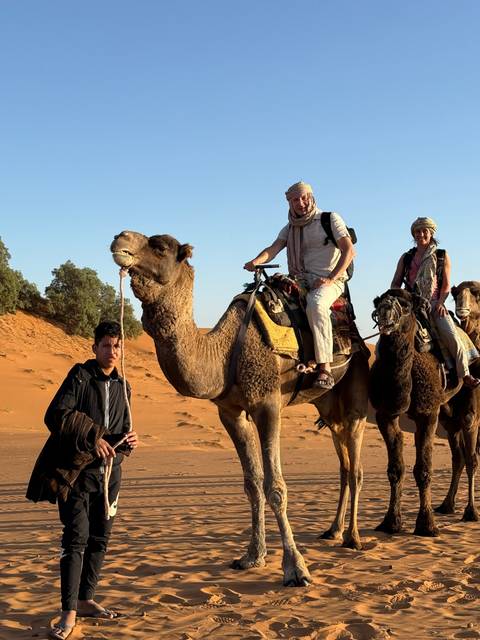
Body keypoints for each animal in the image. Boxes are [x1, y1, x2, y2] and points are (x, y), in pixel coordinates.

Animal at [110, 231, 369, 587]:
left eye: (160, 247)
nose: (119, 239)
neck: (223, 352)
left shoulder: (267, 403)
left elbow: (276, 487)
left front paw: (296, 568)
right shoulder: (230, 413)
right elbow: (252, 485)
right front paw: (252, 556)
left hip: (356, 392)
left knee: (355, 468)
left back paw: (353, 538)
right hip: (328, 406)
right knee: (343, 465)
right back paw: (333, 530)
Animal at [369, 288, 480, 537]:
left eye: (405, 306)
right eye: (379, 302)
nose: (385, 311)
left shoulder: (427, 413)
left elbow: (423, 469)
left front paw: (427, 525)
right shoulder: (385, 414)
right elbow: (396, 469)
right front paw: (390, 522)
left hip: (470, 403)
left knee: (471, 456)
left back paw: (471, 512)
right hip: (448, 416)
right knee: (458, 456)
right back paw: (447, 506)